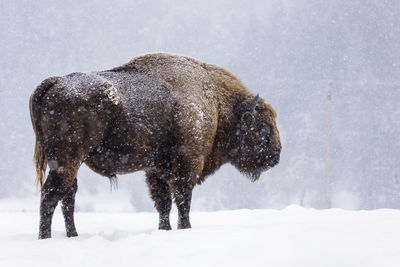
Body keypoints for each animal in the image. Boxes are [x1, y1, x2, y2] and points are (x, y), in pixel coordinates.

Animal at [28, 52, 282, 239]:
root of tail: (54, 82)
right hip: (67, 160)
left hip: (67, 162)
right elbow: (182, 200)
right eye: (263, 128)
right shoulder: (187, 164)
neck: (217, 104)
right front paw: (185, 229)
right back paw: (46, 238)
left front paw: (164, 230)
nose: (276, 156)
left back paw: (72, 235)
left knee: (67, 196)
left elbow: (164, 204)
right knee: (51, 195)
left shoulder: (156, 170)